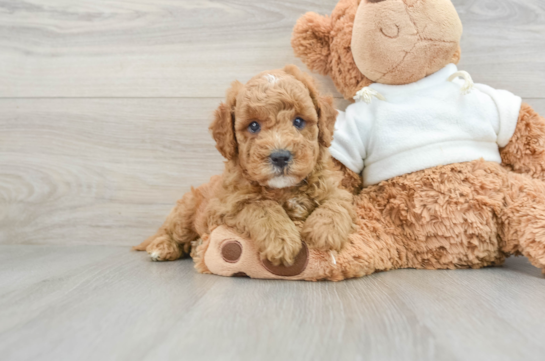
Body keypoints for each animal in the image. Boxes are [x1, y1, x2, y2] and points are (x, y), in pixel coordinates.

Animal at [135, 64, 356, 266]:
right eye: (253, 126)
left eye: (299, 121)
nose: (280, 157)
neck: (284, 189)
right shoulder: (227, 207)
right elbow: (262, 206)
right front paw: (281, 241)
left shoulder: (336, 189)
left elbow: (338, 203)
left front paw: (324, 231)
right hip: (185, 212)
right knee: (170, 232)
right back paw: (162, 247)